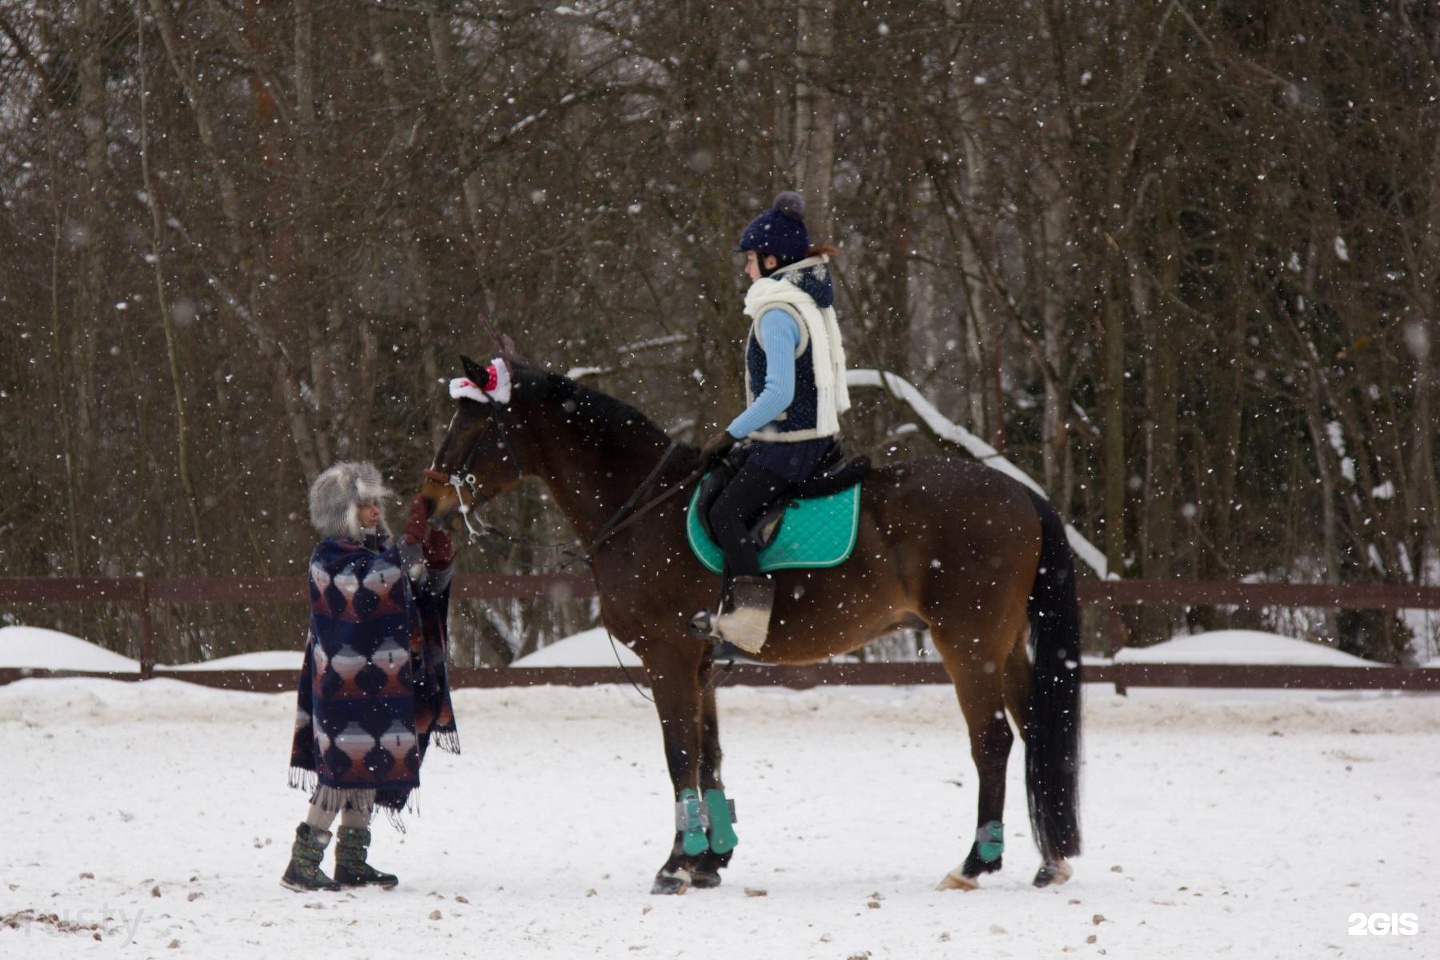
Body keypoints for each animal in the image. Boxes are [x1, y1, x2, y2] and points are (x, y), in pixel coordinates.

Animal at [423, 356, 1082, 898]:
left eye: (472, 428)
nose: (428, 504)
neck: (644, 506)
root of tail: (1021, 494)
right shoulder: (700, 662)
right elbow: (708, 755)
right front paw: (710, 859)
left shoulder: (667, 656)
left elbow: (679, 754)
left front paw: (676, 864)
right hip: (1005, 645)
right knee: (1034, 728)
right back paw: (1049, 861)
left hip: (968, 645)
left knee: (993, 740)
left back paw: (975, 863)